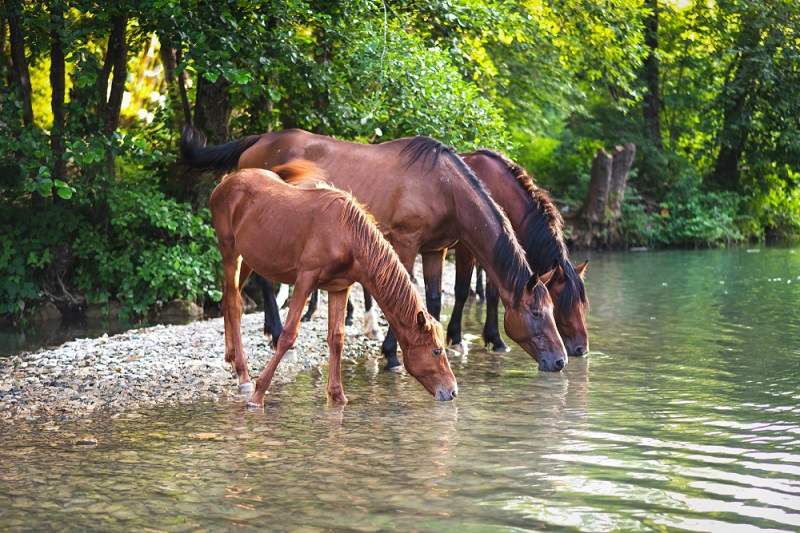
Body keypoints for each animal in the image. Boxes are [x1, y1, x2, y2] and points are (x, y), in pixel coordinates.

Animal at [182, 127, 568, 372]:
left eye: (554, 308)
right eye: (538, 313)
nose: (562, 359)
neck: (444, 186)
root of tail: (259, 139)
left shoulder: (435, 250)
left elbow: (432, 301)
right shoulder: (407, 242)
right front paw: (391, 355)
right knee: (260, 283)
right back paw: (276, 333)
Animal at [208, 161, 456, 404]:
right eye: (436, 351)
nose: (453, 391)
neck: (348, 236)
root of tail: (226, 181)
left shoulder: (339, 288)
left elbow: (336, 338)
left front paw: (337, 395)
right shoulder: (305, 279)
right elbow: (288, 336)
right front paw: (258, 394)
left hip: (249, 258)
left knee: (228, 296)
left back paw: (231, 359)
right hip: (230, 252)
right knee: (235, 304)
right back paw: (243, 375)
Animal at [446, 151, 592, 358]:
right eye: (562, 304)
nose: (582, 349)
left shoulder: (498, 252)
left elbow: (493, 295)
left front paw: (496, 339)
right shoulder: (466, 250)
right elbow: (461, 291)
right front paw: (456, 338)